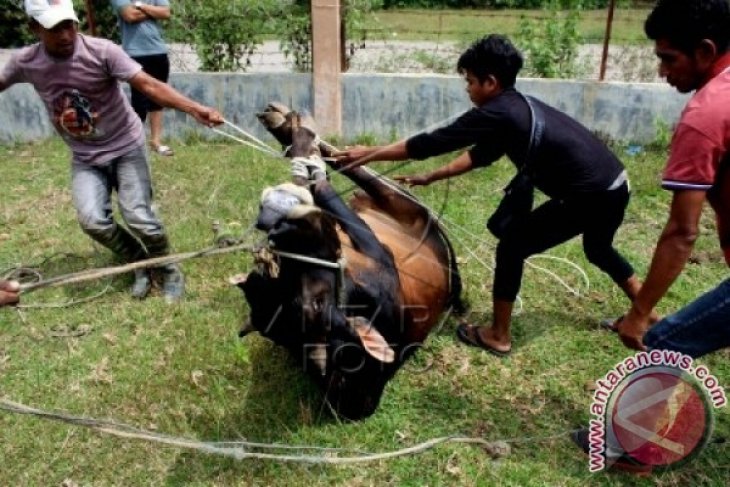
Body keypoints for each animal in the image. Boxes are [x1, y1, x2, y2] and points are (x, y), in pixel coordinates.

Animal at [236, 105, 460, 422]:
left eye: (317, 303)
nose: (273, 222)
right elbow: (321, 182)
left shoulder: (374, 252)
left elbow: (321, 185)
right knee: (349, 169)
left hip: (400, 203)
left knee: (349, 170)